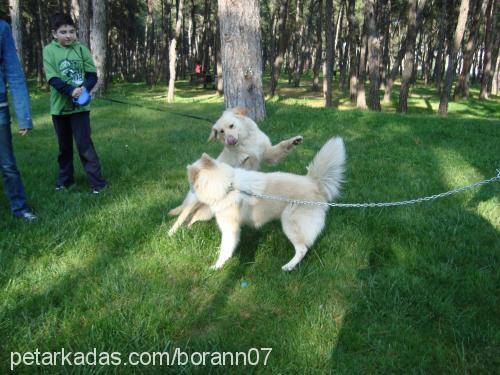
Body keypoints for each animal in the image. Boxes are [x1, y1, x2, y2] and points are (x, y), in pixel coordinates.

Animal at [168, 106, 302, 235]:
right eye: (221, 131)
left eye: (231, 126)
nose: (230, 141)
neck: (246, 142)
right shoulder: (240, 166)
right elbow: (243, 160)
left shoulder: (268, 155)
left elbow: (282, 145)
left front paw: (294, 140)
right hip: (193, 204)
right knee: (181, 218)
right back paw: (171, 233)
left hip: (206, 213)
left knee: (192, 219)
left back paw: (189, 229)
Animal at [186, 137, 346, 272]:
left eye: (190, 181)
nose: (189, 191)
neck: (226, 185)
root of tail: (313, 182)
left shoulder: (230, 229)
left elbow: (226, 249)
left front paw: (216, 266)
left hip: (290, 223)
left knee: (302, 249)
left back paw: (288, 266)